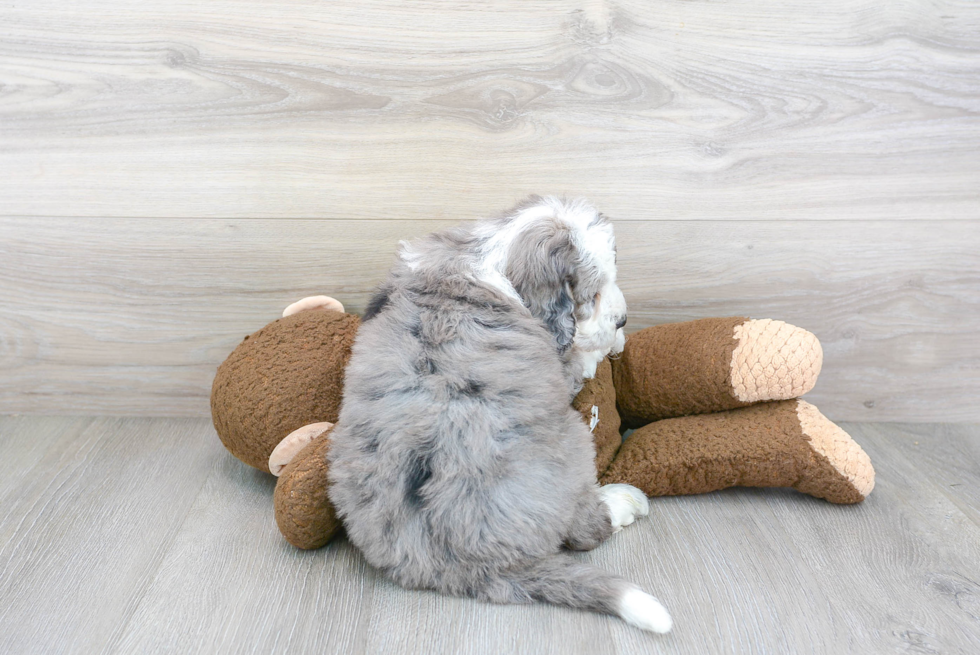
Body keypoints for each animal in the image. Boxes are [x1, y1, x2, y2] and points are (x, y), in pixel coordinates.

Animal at [330, 196, 672, 636]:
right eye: (591, 296)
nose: (624, 320)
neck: (490, 256)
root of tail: (469, 565)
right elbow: (578, 355)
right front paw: (602, 348)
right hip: (573, 441)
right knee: (586, 528)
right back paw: (622, 501)